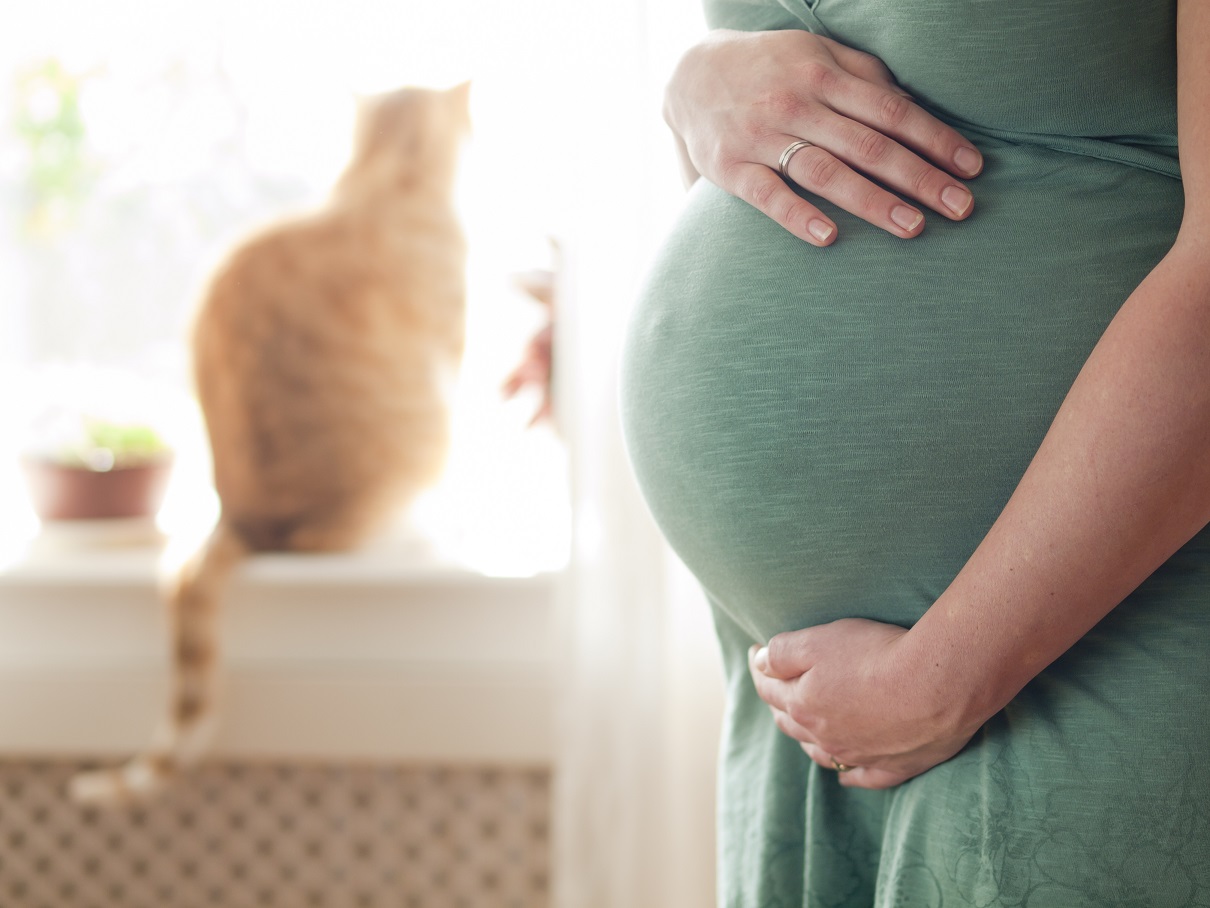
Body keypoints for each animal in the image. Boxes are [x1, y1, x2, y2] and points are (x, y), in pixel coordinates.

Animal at [68, 83, 469, 803]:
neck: (380, 176)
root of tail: (240, 518)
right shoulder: (451, 344)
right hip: (419, 448)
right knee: (334, 541)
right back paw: (415, 539)